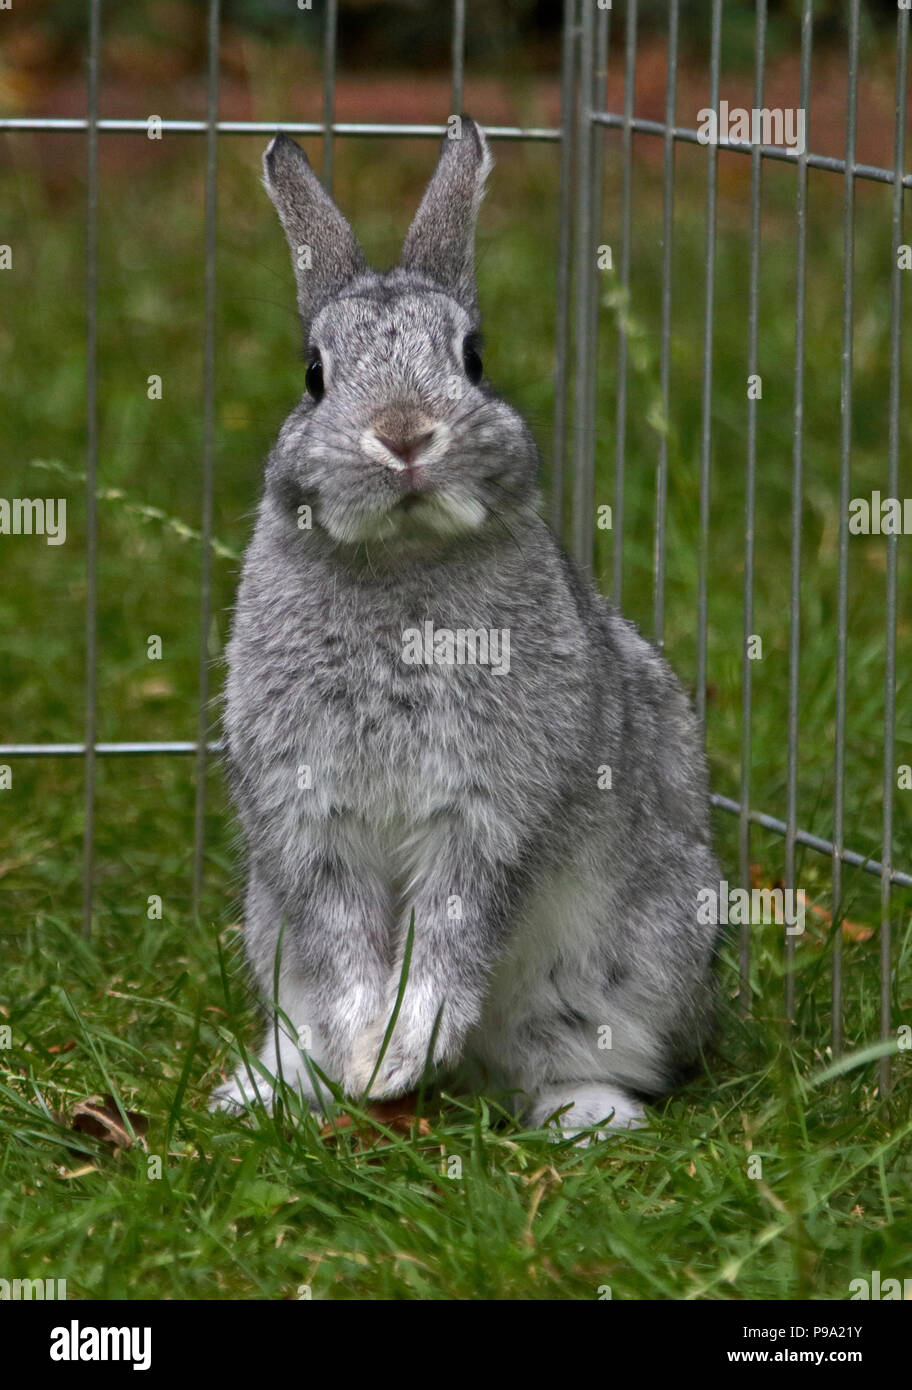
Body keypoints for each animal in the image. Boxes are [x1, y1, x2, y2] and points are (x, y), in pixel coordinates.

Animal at [210, 117, 721, 1139]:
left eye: (474, 357)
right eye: (314, 374)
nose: (405, 433)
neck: (403, 564)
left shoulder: (490, 815)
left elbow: (448, 935)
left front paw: (399, 1057)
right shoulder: (311, 821)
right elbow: (349, 945)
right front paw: (369, 1063)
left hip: (628, 967)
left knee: (556, 1052)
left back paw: (586, 1117)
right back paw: (272, 1092)